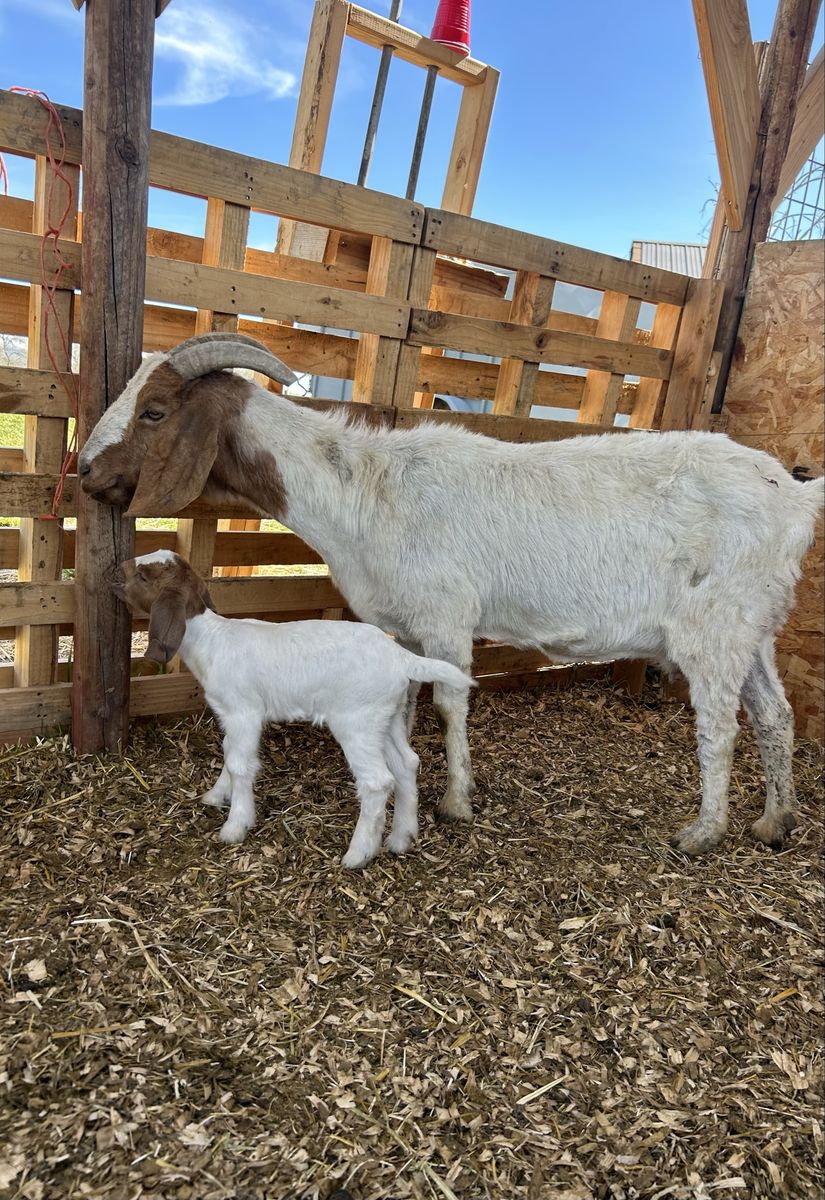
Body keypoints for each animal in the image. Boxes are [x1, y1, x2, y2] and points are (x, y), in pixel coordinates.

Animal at [112, 550, 474, 867]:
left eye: (143, 576)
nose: (116, 570)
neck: (212, 640)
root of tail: (402, 658)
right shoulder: (231, 716)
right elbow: (229, 752)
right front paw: (217, 795)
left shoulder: (244, 712)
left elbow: (241, 764)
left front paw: (235, 825)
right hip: (387, 717)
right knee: (407, 763)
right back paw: (401, 838)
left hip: (356, 722)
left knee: (377, 781)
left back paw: (359, 854)